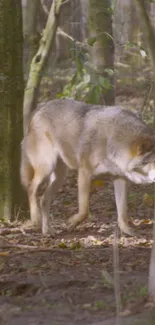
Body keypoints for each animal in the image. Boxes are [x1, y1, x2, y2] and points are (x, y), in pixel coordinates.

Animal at [20, 98, 155, 235]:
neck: (114, 142)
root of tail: (39, 108)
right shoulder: (84, 172)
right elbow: (84, 211)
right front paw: (72, 222)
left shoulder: (119, 178)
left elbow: (122, 212)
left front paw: (127, 231)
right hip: (46, 168)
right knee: (31, 188)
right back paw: (35, 219)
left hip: (60, 177)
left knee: (43, 199)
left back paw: (47, 230)